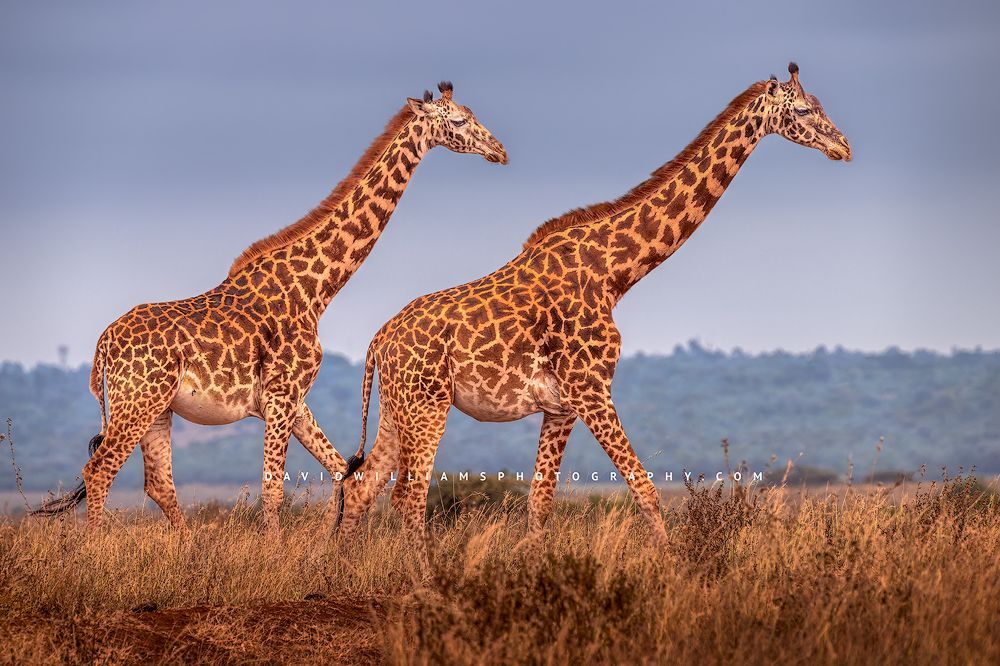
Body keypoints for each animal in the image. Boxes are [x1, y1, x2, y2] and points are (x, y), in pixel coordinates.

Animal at [32, 82, 508, 532]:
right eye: (459, 121)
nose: (499, 151)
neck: (316, 291)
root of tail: (103, 344)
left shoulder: (292, 399)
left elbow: (341, 470)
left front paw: (326, 550)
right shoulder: (282, 395)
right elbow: (274, 490)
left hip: (157, 409)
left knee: (159, 483)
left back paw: (190, 549)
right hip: (138, 400)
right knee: (100, 470)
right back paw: (93, 550)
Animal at [338, 64, 850, 550]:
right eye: (804, 110)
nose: (843, 147)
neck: (614, 275)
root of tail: (378, 341)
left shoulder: (562, 405)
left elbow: (540, 502)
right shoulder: (592, 389)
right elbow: (644, 488)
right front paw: (672, 567)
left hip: (398, 410)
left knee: (364, 486)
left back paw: (340, 568)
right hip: (427, 406)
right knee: (408, 496)